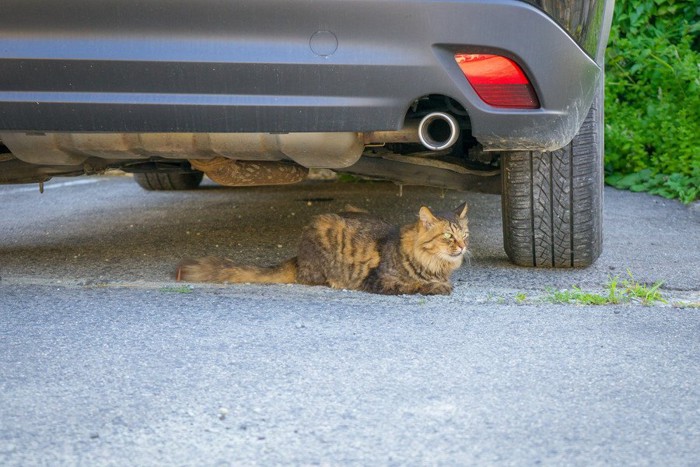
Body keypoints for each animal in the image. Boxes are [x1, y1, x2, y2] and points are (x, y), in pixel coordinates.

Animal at [178, 202, 468, 296]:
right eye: (447, 236)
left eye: (464, 234)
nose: (464, 247)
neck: (434, 265)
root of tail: (297, 256)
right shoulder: (380, 280)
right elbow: (414, 284)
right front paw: (436, 287)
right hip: (325, 225)